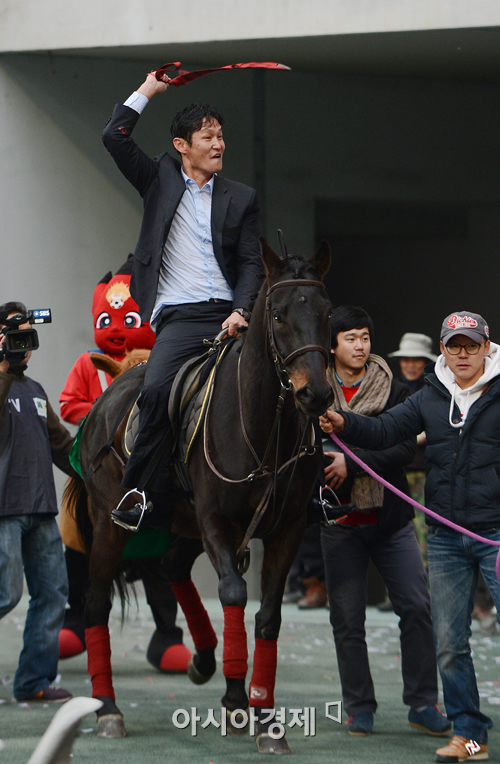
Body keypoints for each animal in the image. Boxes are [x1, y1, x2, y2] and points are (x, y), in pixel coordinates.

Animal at [66, 240, 332, 752]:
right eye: (279, 315)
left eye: (327, 313)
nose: (317, 394)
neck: (261, 425)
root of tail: (102, 403)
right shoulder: (216, 522)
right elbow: (233, 592)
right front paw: (237, 699)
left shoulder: (288, 529)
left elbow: (268, 617)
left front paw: (262, 716)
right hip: (111, 523)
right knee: (95, 604)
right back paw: (107, 708)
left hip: (179, 521)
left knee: (171, 567)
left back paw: (205, 660)